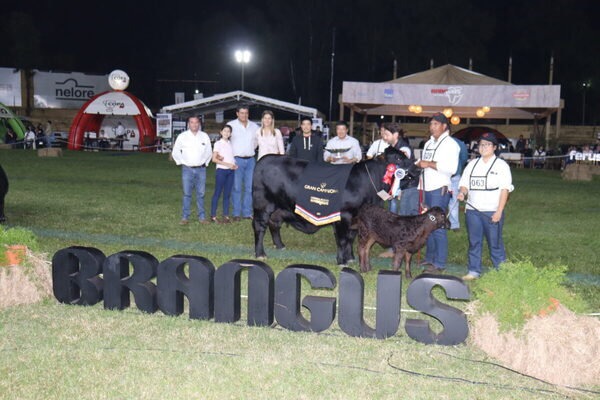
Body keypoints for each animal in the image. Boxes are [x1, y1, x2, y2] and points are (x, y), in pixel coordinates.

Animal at [251, 147, 420, 266]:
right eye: (398, 157)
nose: (418, 168)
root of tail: (264, 159)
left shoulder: (356, 217)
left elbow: (351, 238)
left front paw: (350, 258)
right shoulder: (343, 215)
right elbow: (343, 239)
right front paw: (342, 261)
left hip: (279, 207)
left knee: (274, 223)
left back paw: (280, 246)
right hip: (263, 204)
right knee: (260, 226)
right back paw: (260, 254)